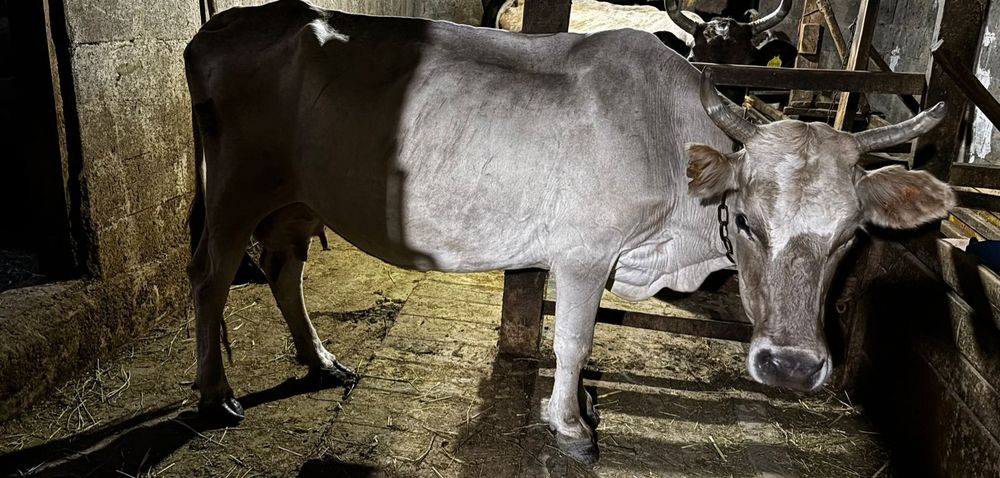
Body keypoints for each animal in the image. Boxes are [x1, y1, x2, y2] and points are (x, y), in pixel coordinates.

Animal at [184, 0, 954, 464]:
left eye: (851, 235)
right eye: (748, 220)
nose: (791, 367)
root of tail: (228, 24)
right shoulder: (585, 252)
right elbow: (576, 341)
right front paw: (573, 426)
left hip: (298, 194)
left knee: (283, 265)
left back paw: (320, 360)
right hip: (236, 187)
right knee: (211, 276)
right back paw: (215, 394)